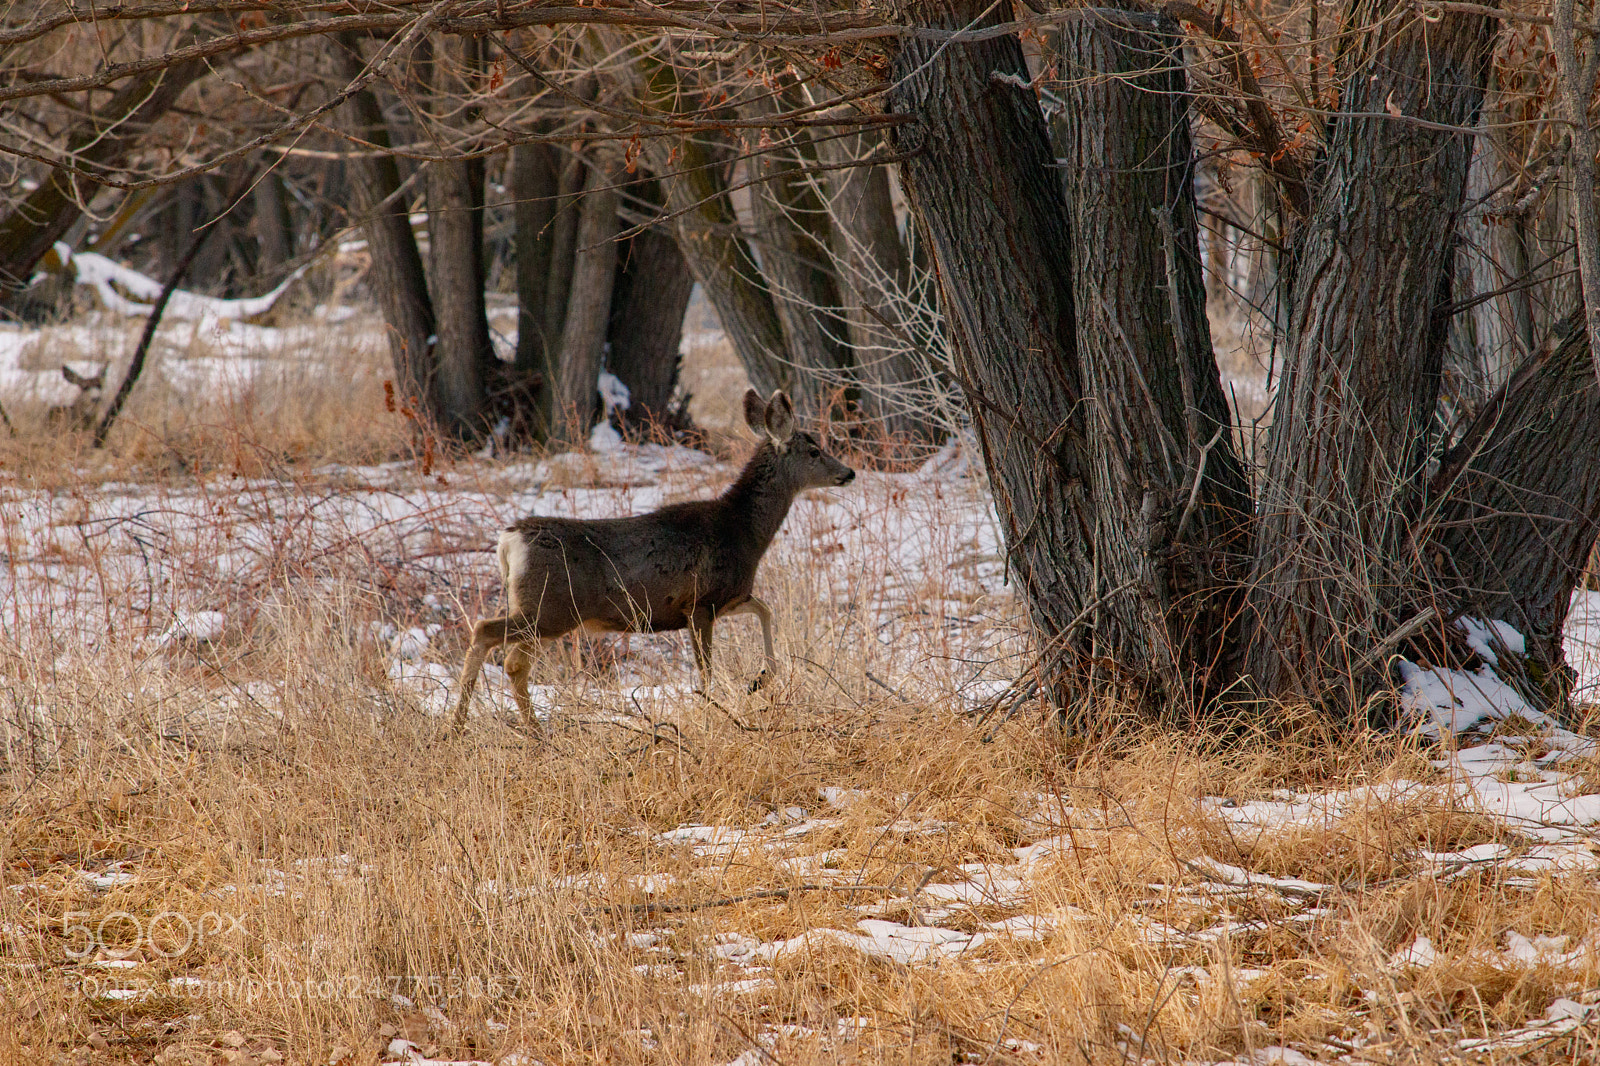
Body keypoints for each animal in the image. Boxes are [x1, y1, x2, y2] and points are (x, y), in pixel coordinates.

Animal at [452, 388, 856, 730]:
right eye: (814, 451)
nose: (848, 472)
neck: (743, 531)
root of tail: (510, 540)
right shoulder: (701, 603)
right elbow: (707, 670)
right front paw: (713, 713)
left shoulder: (729, 598)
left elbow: (765, 610)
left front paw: (758, 680)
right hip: (550, 608)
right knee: (490, 636)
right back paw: (464, 726)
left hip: (540, 608)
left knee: (510, 659)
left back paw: (517, 730)